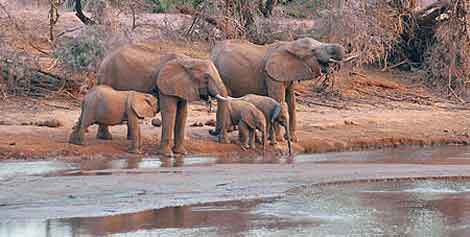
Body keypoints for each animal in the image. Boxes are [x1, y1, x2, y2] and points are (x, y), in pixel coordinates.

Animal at [96, 44, 229, 157]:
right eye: (206, 77)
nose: (211, 131)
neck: (188, 61)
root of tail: (105, 58)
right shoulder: (165, 86)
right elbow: (170, 111)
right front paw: (167, 155)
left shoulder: (182, 86)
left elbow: (182, 113)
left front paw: (181, 153)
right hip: (107, 76)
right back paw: (106, 138)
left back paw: (124, 138)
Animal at [209, 36, 346, 141]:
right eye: (313, 50)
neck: (290, 45)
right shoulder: (271, 75)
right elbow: (278, 100)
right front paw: (279, 140)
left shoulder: (287, 74)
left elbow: (291, 101)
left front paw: (292, 139)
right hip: (218, 72)